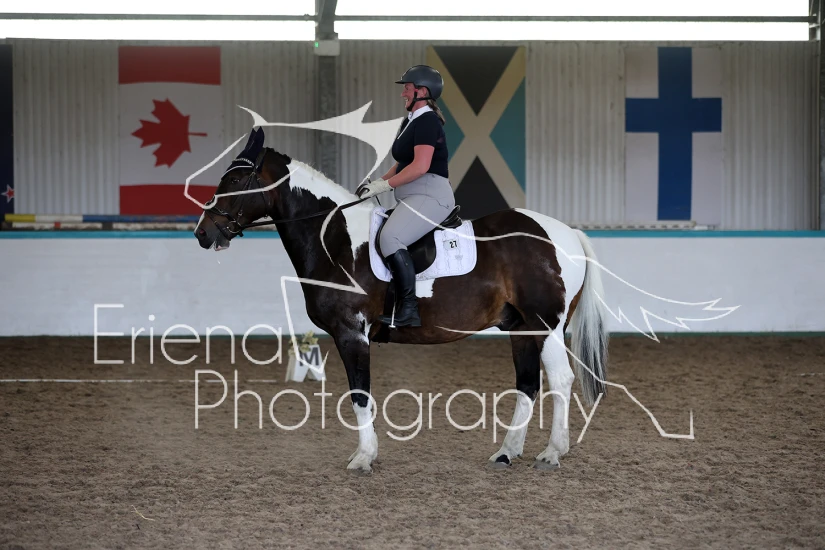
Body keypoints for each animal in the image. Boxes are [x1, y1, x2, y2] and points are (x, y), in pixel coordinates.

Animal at [194, 127, 609, 473]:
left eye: (234, 180)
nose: (202, 233)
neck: (335, 240)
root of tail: (565, 232)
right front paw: (366, 453)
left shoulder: (352, 333)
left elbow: (360, 394)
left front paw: (364, 457)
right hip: (521, 328)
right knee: (527, 384)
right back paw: (507, 452)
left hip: (545, 324)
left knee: (560, 379)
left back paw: (552, 452)